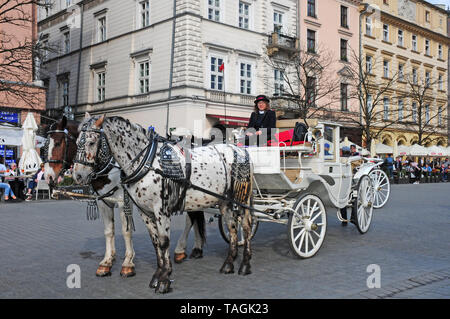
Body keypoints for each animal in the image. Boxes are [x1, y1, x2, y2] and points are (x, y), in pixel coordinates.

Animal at [74, 115, 256, 296]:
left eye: (91, 142)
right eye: (76, 142)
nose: (77, 175)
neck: (147, 162)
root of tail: (240, 150)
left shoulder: (159, 210)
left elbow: (163, 242)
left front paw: (163, 280)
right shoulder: (144, 211)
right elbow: (155, 243)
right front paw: (157, 276)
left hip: (241, 199)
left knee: (246, 227)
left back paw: (245, 264)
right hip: (225, 202)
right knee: (232, 228)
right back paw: (228, 264)